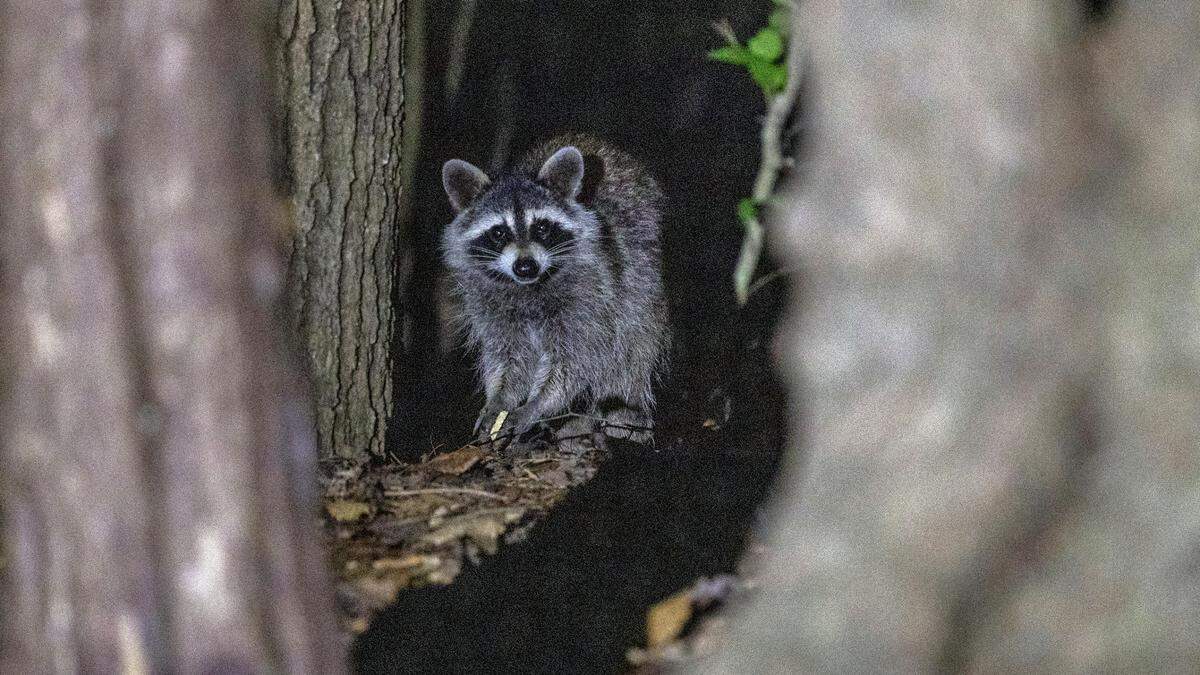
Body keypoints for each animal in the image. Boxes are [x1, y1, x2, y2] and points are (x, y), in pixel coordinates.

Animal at [440, 134, 669, 444]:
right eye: (499, 232)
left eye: (541, 228)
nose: (525, 266)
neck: (529, 287)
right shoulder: (489, 304)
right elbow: (507, 356)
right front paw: (499, 398)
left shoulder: (591, 294)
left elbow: (577, 359)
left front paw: (538, 404)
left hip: (643, 270)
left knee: (636, 337)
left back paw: (626, 406)